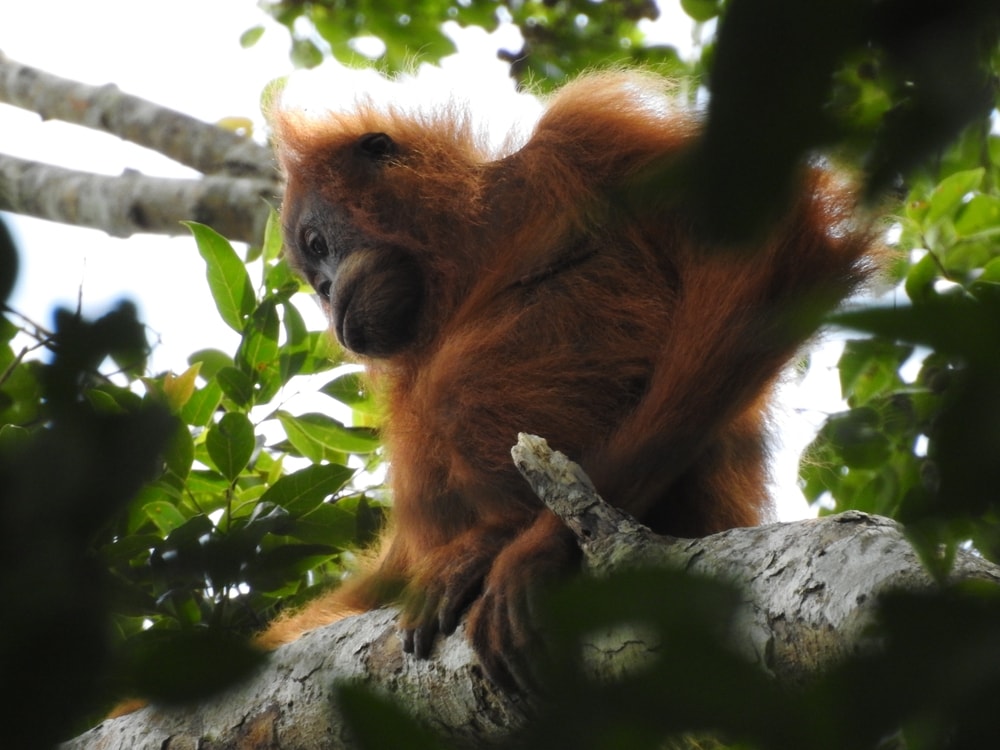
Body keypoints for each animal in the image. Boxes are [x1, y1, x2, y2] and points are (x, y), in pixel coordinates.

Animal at [260, 70, 879, 690]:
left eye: (318, 246)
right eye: (314, 279)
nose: (329, 295)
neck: (471, 248)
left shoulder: (591, 135)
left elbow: (776, 250)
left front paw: (539, 549)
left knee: (451, 393)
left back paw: (501, 539)